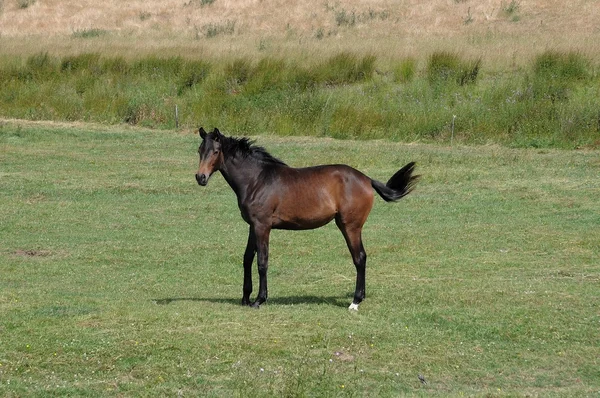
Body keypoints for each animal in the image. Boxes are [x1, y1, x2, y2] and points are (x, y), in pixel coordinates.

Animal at [195, 127, 420, 310]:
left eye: (216, 151)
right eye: (199, 150)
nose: (200, 178)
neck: (257, 180)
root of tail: (366, 179)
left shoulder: (262, 226)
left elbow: (262, 261)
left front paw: (259, 300)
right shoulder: (253, 226)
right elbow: (247, 258)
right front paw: (245, 298)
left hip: (351, 226)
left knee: (360, 257)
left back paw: (355, 302)